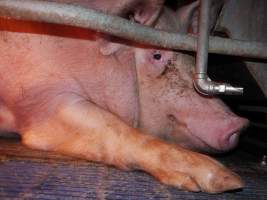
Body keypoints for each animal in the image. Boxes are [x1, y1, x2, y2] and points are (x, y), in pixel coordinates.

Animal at [0, 0, 249, 194]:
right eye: (156, 55)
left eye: (190, 56)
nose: (239, 123)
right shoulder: (38, 99)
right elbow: (114, 127)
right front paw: (228, 181)